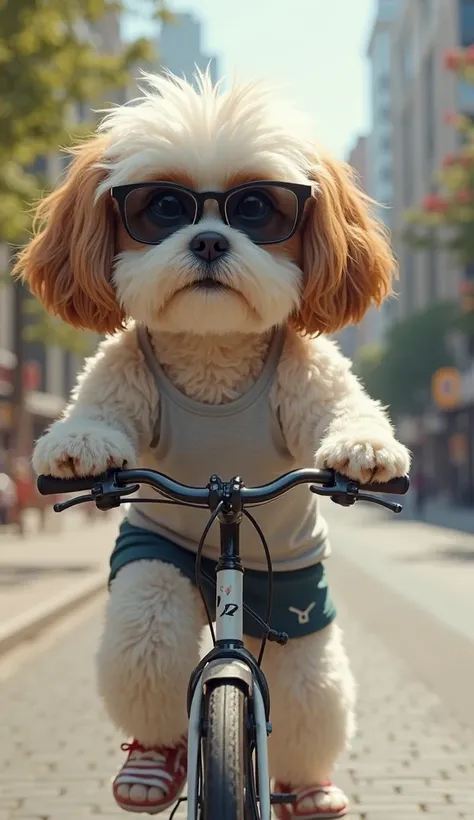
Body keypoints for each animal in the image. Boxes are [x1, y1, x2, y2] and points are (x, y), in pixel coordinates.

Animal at [12, 73, 410, 816]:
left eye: (256, 209)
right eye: (162, 208)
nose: (206, 242)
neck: (214, 351)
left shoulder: (308, 369)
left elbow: (345, 406)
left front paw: (367, 452)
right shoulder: (123, 369)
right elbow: (98, 407)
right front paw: (78, 443)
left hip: (295, 609)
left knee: (309, 688)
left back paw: (308, 786)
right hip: (164, 575)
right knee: (150, 636)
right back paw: (149, 765)